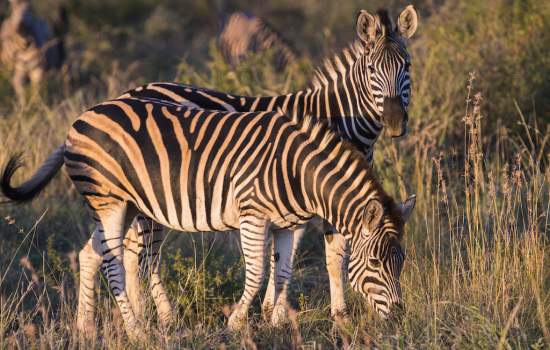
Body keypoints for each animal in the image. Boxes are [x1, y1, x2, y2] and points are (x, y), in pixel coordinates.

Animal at [0, 97, 414, 338]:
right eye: (374, 263)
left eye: (402, 262)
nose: (399, 317)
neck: (297, 171)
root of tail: (81, 117)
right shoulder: (252, 215)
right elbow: (257, 272)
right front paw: (236, 323)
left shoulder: (285, 223)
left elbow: (282, 271)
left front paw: (274, 321)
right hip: (111, 201)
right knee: (112, 261)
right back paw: (136, 331)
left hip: (124, 205)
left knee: (90, 254)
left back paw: (86, 328)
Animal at [113, 5, 422, 326]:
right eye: (372, 70)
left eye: (408, 66)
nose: (395, 121)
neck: (337, 119)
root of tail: (130, 92)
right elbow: (324, 257)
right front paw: (309, 314)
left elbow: (296, 256)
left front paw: (273, 310)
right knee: (140, 254)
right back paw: (156, 316)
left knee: (131, 253)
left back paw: (141, 314)